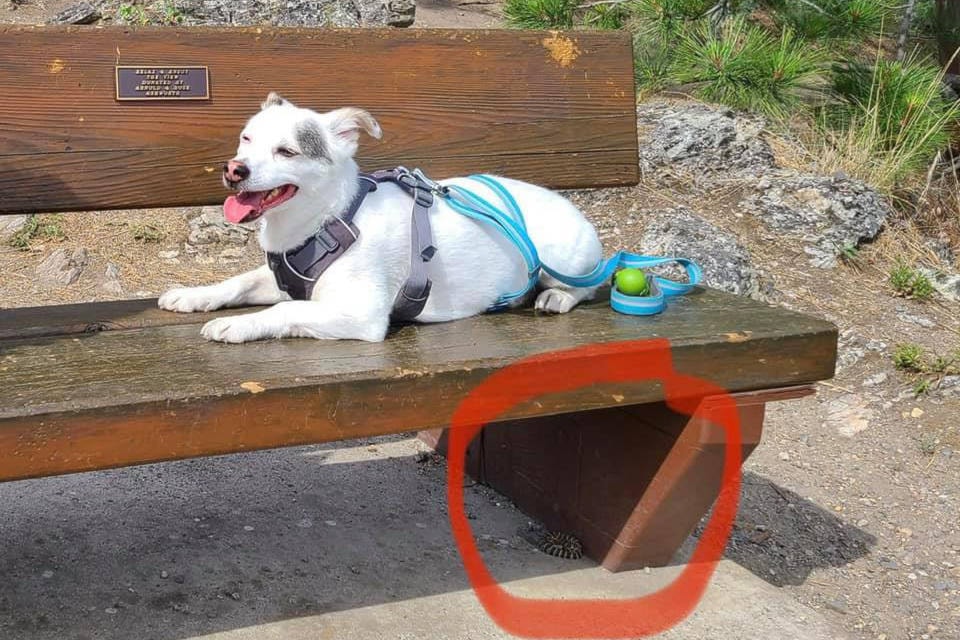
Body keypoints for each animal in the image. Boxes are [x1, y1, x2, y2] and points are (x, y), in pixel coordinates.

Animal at [161, 92, 604, 342]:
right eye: (246, 138)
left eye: (286, 152)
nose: (234, 169)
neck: (329, 220)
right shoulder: (283, 281)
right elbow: (238, 282)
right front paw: (194, 295)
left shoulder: (359, 314)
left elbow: (284, 312)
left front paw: (240, 325)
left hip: (563, 257)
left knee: (588, 286)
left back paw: (557, 296)